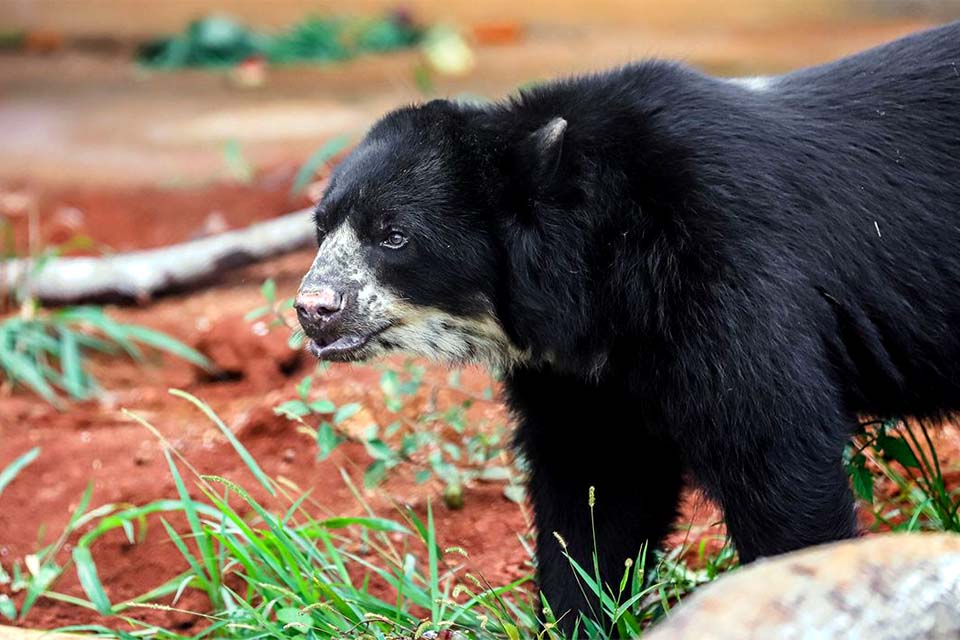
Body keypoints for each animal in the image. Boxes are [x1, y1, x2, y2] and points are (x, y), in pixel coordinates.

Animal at [294, 19, 960, 633]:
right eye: (322, 228)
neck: (602, 266)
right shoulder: (583, 374)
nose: (313, 308)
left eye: (394, 236)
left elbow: (775, 451)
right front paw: (579, 617)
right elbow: (595, 490)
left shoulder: (729, 275)